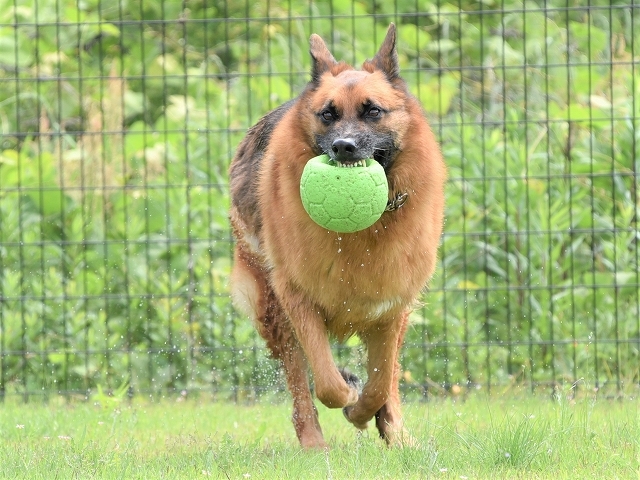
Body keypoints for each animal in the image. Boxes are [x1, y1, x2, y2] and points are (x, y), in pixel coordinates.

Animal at [229, 24, 444, 448]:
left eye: (372, 111)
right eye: (327, 114)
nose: (344, 147)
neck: (363, 232)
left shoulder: (391, 308)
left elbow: (380, 383)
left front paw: (364, 410)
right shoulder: (297, 299)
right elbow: (327, 384)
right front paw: (347, 394)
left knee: (389, 381)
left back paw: (395, 433)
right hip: (272, 309)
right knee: (301, 387)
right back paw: (314, 443)